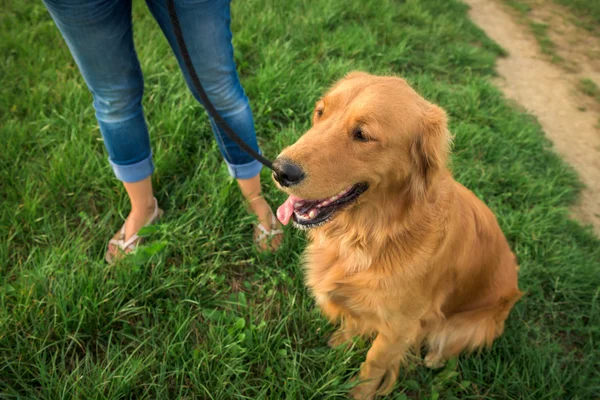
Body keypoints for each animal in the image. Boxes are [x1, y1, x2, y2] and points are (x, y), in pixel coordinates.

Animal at [272, 71, 520, 396]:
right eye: (320, 112)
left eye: (362, 135)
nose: (279, 170)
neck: (374, 233)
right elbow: (353, 322)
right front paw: (342, 342)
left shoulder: (400, 327)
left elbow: (373, 364)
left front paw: (359, 393)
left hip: (470, 324)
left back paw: (434, 357)